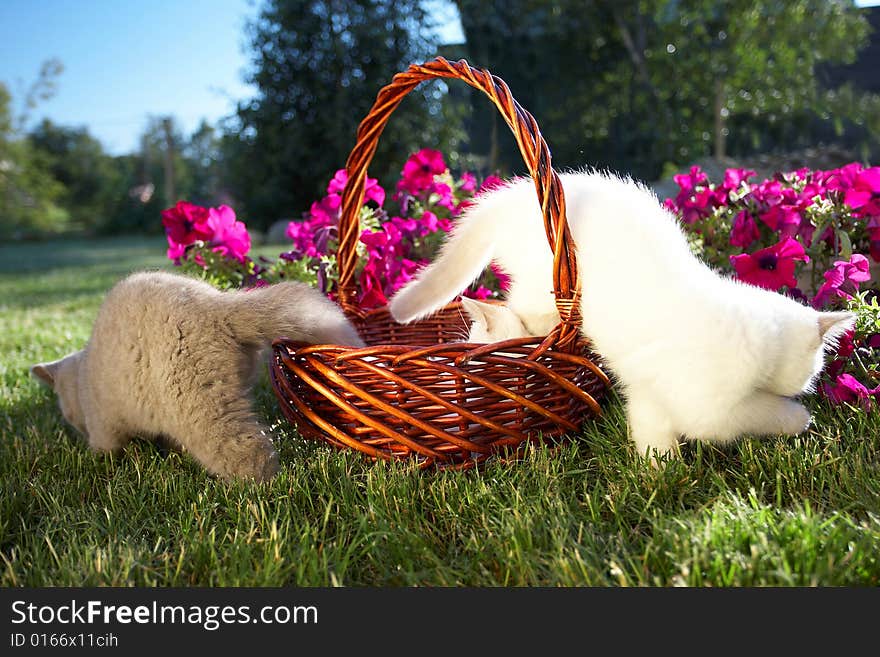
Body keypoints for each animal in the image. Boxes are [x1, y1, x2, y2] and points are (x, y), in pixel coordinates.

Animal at [388, 172, 856, 464]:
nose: (809, 385)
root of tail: (516, 195)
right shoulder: (710, 410)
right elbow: (757, 414)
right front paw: (799, 418)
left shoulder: (651, 392)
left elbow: (651, 430)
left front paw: (660, 474)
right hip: (542, 279)